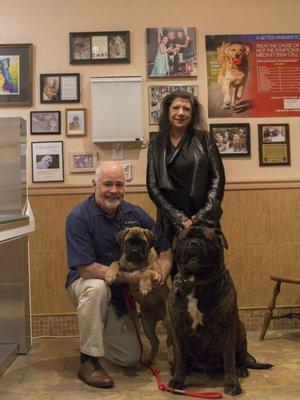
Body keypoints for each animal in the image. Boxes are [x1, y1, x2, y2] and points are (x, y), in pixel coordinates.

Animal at [168, 227, 274, 396]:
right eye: (185, 239)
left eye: (206, 239)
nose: (194, 243)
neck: (197, 282)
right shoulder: (177, 329)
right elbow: (180, 358)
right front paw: (178, 380)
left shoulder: (227, 328)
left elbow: (229, 361)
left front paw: (232, 384)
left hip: (241, 331)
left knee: (239, 358)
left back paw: (241, 369)